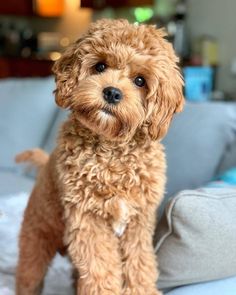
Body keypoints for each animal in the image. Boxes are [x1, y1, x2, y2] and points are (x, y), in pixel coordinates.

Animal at [15, 19, 184, 295]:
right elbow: (101, 272)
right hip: (36, 239)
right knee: (28, 275)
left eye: (140, 80)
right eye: (100, 66)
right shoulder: (88, 222)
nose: (112, 93)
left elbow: (141, 267)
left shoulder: (138, 224)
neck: (112, 153)